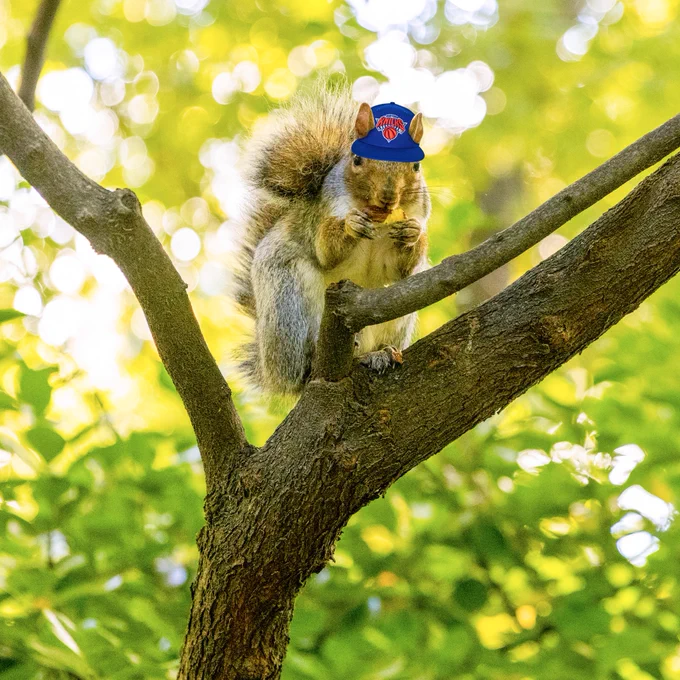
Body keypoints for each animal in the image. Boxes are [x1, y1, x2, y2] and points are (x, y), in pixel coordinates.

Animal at [233, 85, 431, 395]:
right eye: (357, 160)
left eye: (416, 167)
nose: (388, 197)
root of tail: (271, 370)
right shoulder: (322, 215)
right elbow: (326, 250)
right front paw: (351, 226)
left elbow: (399, 269)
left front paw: (411, 234)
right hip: (287, 303)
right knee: (299, 364)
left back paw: (378, 354)